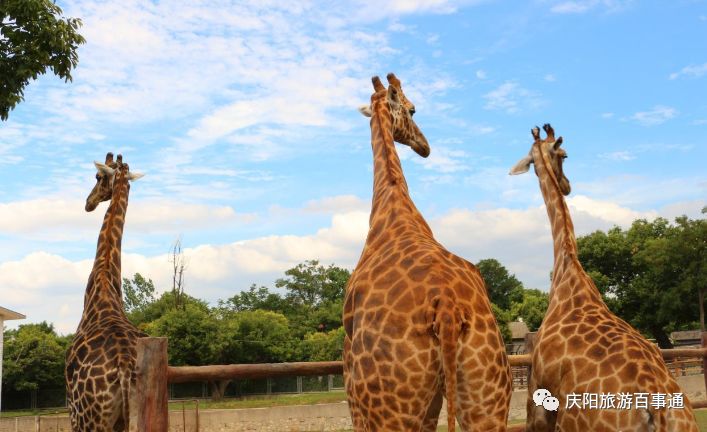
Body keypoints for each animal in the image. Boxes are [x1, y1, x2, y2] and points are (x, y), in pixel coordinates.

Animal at [342, 72, 508, 430]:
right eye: (414, 110)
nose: (424, 146)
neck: (394, 204)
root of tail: (446, 308)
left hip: (387, 407)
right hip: (487, 393)